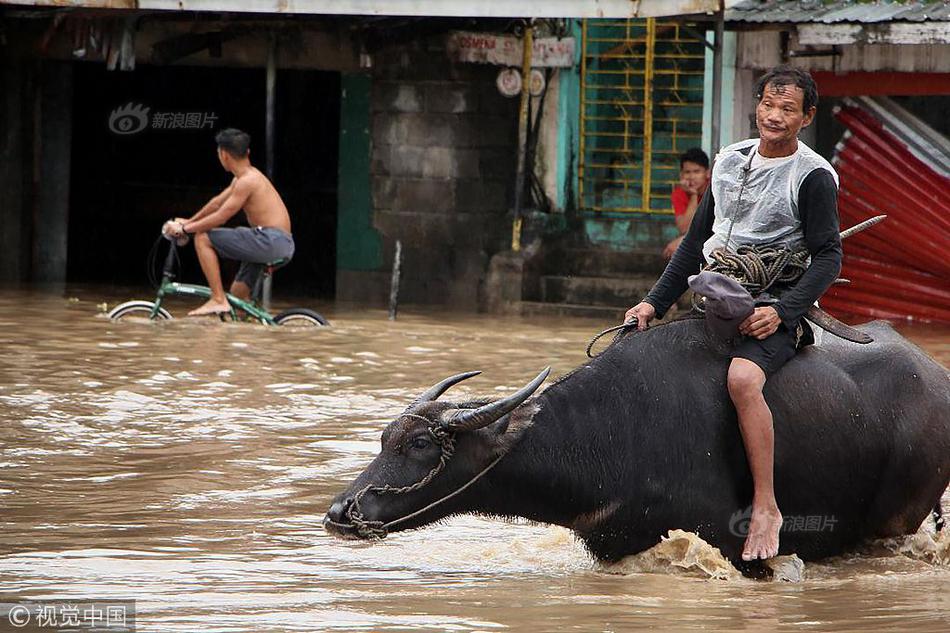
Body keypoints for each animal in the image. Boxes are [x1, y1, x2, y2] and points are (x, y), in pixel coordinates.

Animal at [324, 316, 948, 564]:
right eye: (384, 439)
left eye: (420, 446)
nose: (340, 511)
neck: (612, 432)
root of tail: (935, 375)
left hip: (897, 518)